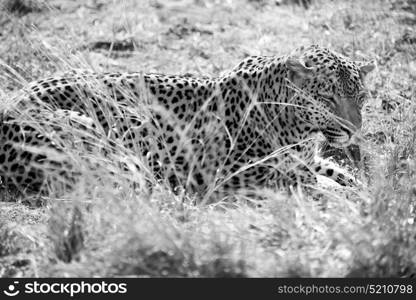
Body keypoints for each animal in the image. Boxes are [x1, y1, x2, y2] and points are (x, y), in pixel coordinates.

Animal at [0, 44, 376, 200]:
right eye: (327, 98)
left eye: (360, 98)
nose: (353, 131)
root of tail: (9, 107)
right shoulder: (239, 175)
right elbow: (310, 182)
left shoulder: (311, 160)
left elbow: (338, 174)